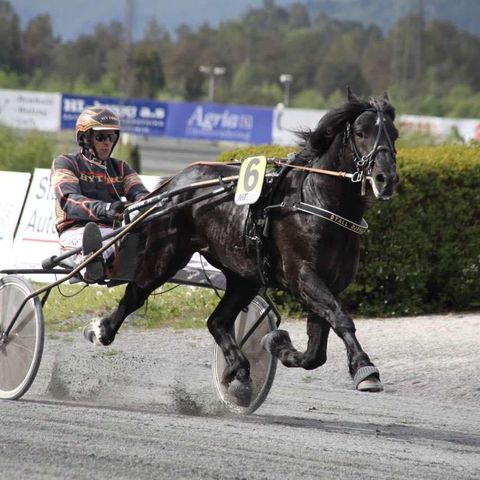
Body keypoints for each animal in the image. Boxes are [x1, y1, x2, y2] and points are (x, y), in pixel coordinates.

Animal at [84, 89, 400, 404]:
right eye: (360, 133)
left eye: (394, 134)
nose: (386, 179)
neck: (317, 202)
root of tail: (173, 183)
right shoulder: (303, 276)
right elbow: (341, 318)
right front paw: (365, 369)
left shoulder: (329, 283)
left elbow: (316, 349)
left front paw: (280, 344)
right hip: (166, 255)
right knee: (135, 294)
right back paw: (101, 330)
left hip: (243, 274)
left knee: (217, 321)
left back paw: (239, 372)